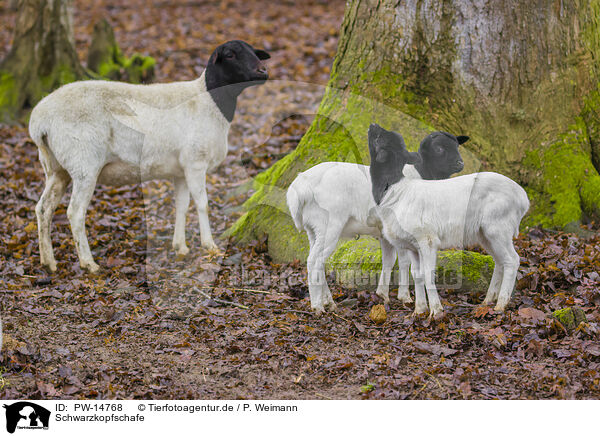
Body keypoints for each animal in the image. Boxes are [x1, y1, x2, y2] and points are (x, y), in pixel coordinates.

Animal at [28, 41, 270, 272]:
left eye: (254, 51)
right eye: (230, 54)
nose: (264, 71)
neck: (209, 101)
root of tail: (39, 121)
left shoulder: (181, 170)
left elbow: (182, 205)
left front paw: (180, 247)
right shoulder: (195, 162)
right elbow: (203, 204)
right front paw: (209, 245)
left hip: (56, 168)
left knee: (43, 208)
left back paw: (48, 261)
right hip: (83, 165)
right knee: (75, 212)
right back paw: (88, 263)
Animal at [286, 129, 468, 314]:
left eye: (456, 146)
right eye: (439, 149)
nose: (460, 163)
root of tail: (300, 188)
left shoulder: (385, 231)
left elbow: (390, 260)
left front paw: (383, 295)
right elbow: (404, 261)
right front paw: (405, 297)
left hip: (313, 228)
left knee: (317, 261)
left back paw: (329, 302)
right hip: (329, 224)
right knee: (314, 261)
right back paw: (317, 306)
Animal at [366, 124, 528, 318]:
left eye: (379, 139)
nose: (373, 125)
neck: (396, 189)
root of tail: (523, 198)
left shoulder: (427, 239)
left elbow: (428, 273)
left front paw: (436, 311)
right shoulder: (413, 245)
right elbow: (417, 275)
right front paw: (419, 310)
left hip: (498, 227)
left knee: (512, 260)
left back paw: (500, 305)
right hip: (485, 234)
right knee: (499, 261)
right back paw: (488, 301)